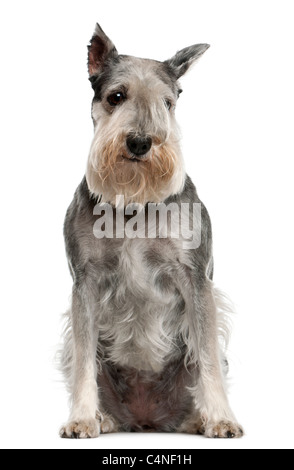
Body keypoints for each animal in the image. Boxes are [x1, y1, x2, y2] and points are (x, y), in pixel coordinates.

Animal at [59, 23, 243, 438]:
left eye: (168, 103)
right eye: (116, 96)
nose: (141, 142)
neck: (134, 202)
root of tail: (146, 420)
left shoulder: (195, 278)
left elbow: (207, 356)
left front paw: (222, 418)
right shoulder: (85, 283)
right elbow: (83, 360)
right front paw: (81, 418)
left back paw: (198, 418)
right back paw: (103, 418)